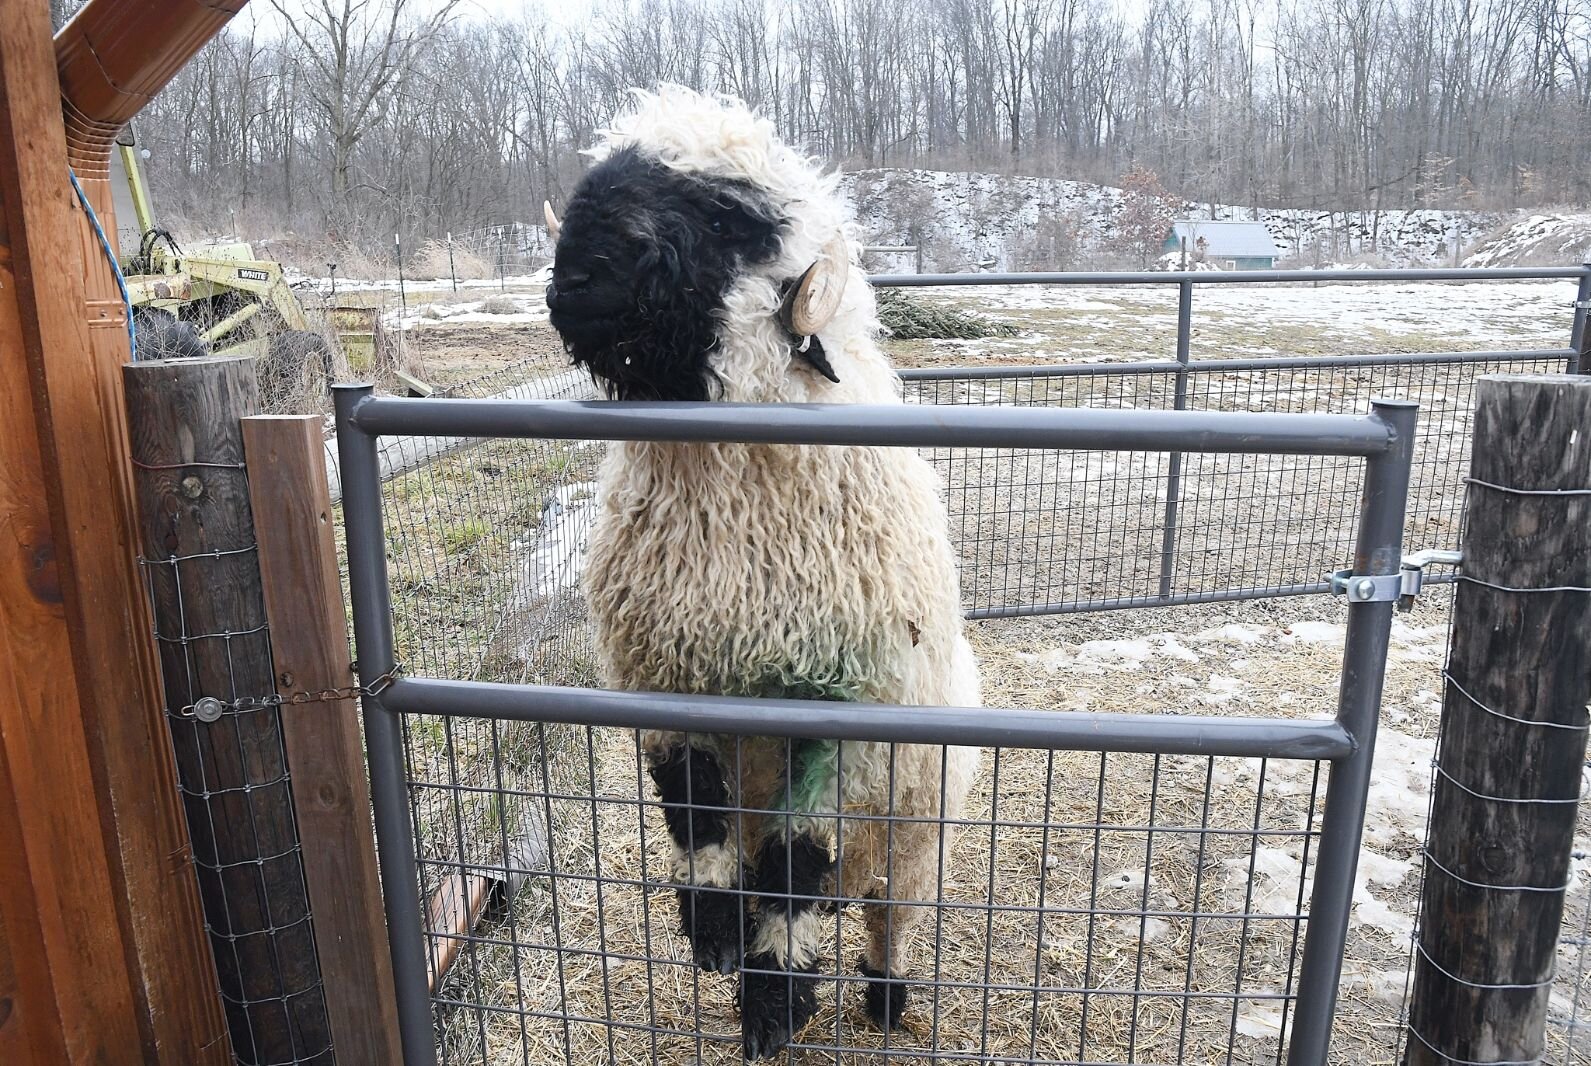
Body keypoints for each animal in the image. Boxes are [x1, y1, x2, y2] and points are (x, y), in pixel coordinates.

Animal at [547, 87, 980, 1062]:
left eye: (726, 217)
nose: (575, 279)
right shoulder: (669, 683)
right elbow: (697, 824)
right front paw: (712, 932)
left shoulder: (838, 714)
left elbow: (795, 864)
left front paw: (775, 1003)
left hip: (912, 835)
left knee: (885, 916)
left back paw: (885, 998)